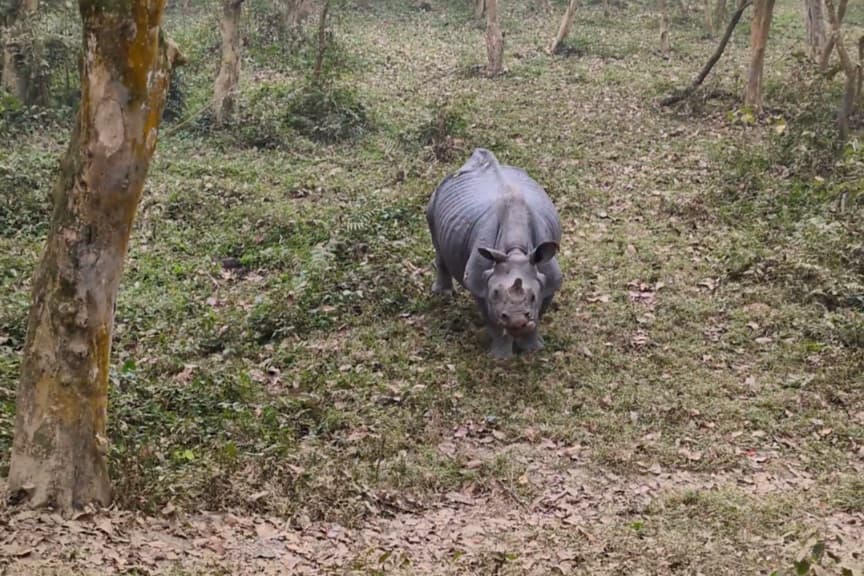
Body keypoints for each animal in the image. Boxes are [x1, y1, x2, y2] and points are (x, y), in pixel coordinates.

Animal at [426, 148, 562, 359]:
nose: (517, 321)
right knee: (437, 241)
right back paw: (443, 295)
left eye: (532, 297)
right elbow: (493, 322)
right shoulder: (479, 283)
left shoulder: (549, 279)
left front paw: (533, 350)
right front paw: (500, 358)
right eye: (496, 293)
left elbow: (539, 313)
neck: (516, 251)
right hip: (435, 199)